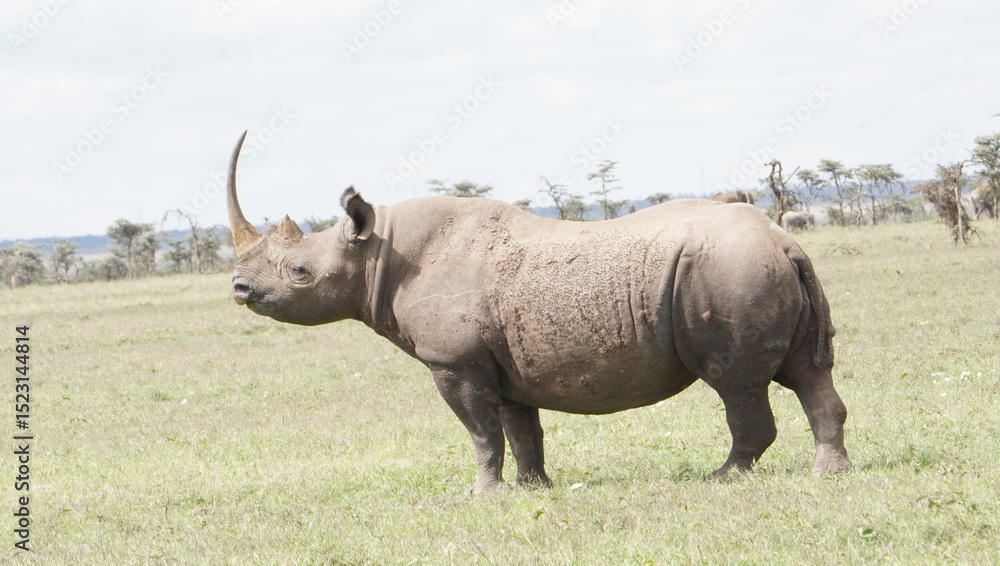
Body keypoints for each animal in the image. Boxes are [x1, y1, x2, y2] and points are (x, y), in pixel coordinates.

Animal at [225, 132, 851, 492]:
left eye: (299, 272)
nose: (238, 288)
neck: (377, 250)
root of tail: (785, 243)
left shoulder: (454, 361)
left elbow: (480, 431)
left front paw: (483, 496)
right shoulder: (500, 362)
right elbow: (519, 428)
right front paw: (533, 488)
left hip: (727, 271)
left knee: (735, 383)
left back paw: (721, 478)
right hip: (756, 268)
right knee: (806, 374)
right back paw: (830, 474)